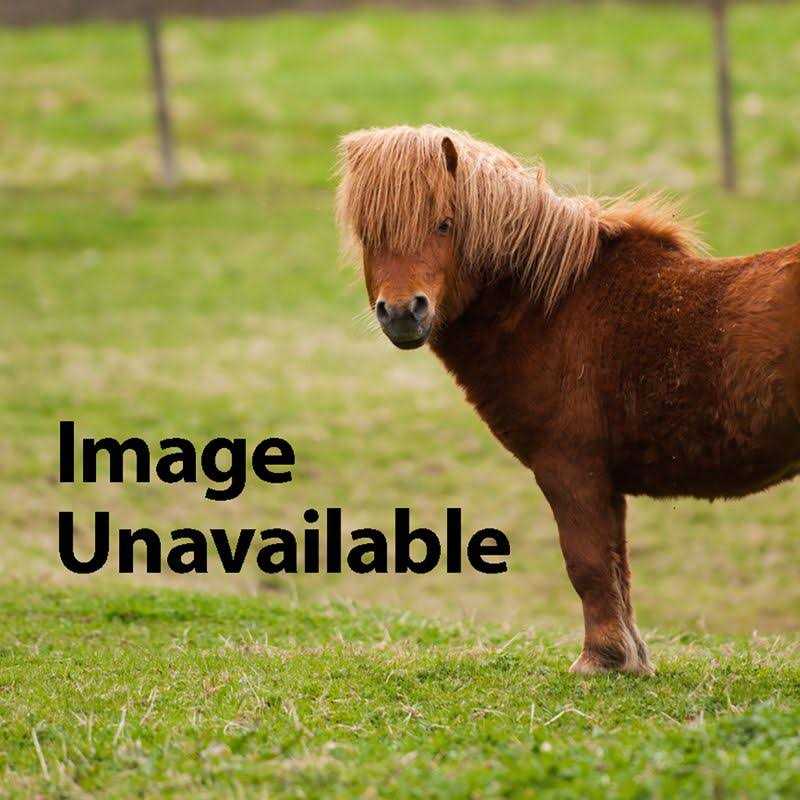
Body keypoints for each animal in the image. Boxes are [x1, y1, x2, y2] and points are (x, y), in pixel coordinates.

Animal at [335, 124, 800, 675]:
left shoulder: (570, 469)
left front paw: (600, 659)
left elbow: (588, 563)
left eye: (444, 224)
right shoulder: (604, 482)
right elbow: (617, 568)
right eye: (368, 233)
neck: (552, 308)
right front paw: (631, 661)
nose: (404, 313)